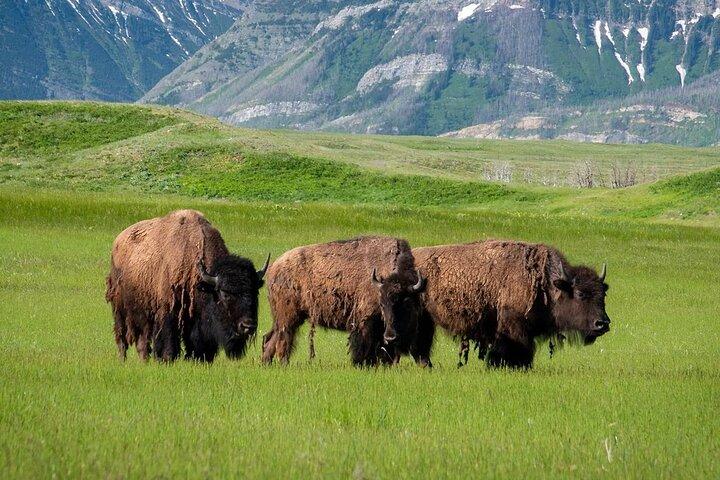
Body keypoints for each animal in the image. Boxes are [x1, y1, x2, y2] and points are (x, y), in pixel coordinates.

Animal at [106, 210, 269, 362]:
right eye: (225, 293)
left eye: (255, 293)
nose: (248, 326)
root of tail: (118, 240)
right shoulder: (168, 313)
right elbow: (169, 345)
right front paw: (166, 359)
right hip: (120, 310)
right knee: (122, 338)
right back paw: (122, 360)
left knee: (142, 343)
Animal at [261, 236, 429, 366]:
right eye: (382, 304)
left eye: (406, 303)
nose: (391, 337)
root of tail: (274, 267)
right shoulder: (365, 323)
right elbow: (363, 346)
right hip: (288, 318)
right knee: (283, 340)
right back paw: (283, 364)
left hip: (284, 319)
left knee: (270, 340)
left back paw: (266, 364)